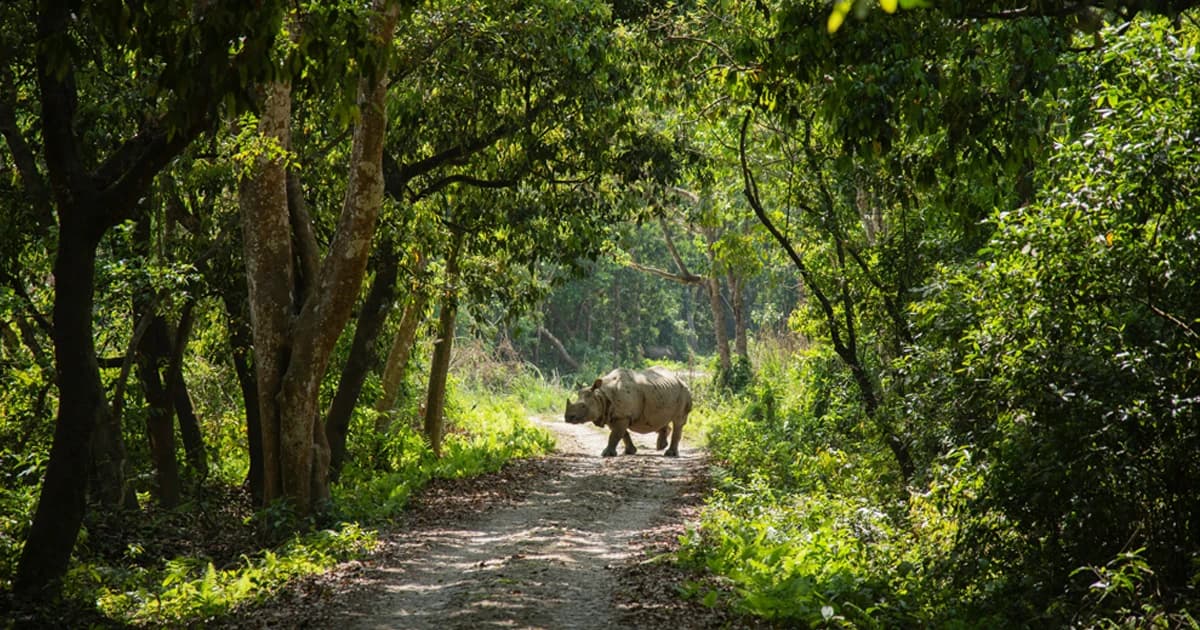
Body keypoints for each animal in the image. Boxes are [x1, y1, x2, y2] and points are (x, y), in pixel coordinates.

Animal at [564, 366, 692, 457]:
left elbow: (615, 435)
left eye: (583, 406)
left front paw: (606, 454)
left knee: (678, 421)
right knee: (659, 418)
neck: (601, 396)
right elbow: (622, 434)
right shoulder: (612, 414)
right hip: (663, 392)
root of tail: (679, 378)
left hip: (684, 391)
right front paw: (630, 451)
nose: (567, 418)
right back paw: (661, 446)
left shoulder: (622, 415)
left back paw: (670, 454)